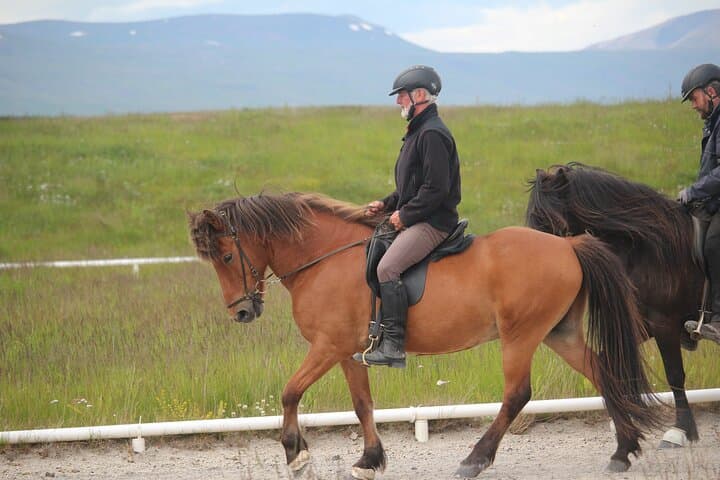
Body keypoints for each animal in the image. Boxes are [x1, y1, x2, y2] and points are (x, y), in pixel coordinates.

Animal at [189, 191, 658, 478]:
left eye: (227, 256)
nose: (242, 311)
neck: (323, 259)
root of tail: (567, 245)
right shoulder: (346, 352)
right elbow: (362, 404)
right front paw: (370, 459)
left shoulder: (328, 345)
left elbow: (289, 392)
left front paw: (296, 453)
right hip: (559, 333)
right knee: (603, 373)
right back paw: (623, 451)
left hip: (520, 335)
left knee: (517, 394)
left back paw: (474, 459)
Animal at [526, 162, 703, 448]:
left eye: (557, 226)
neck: (650, 248)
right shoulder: (644, 323)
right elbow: (609, 359)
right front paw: (626, 414)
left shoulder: (665, 323)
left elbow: (675, 374)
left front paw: (680, 430)